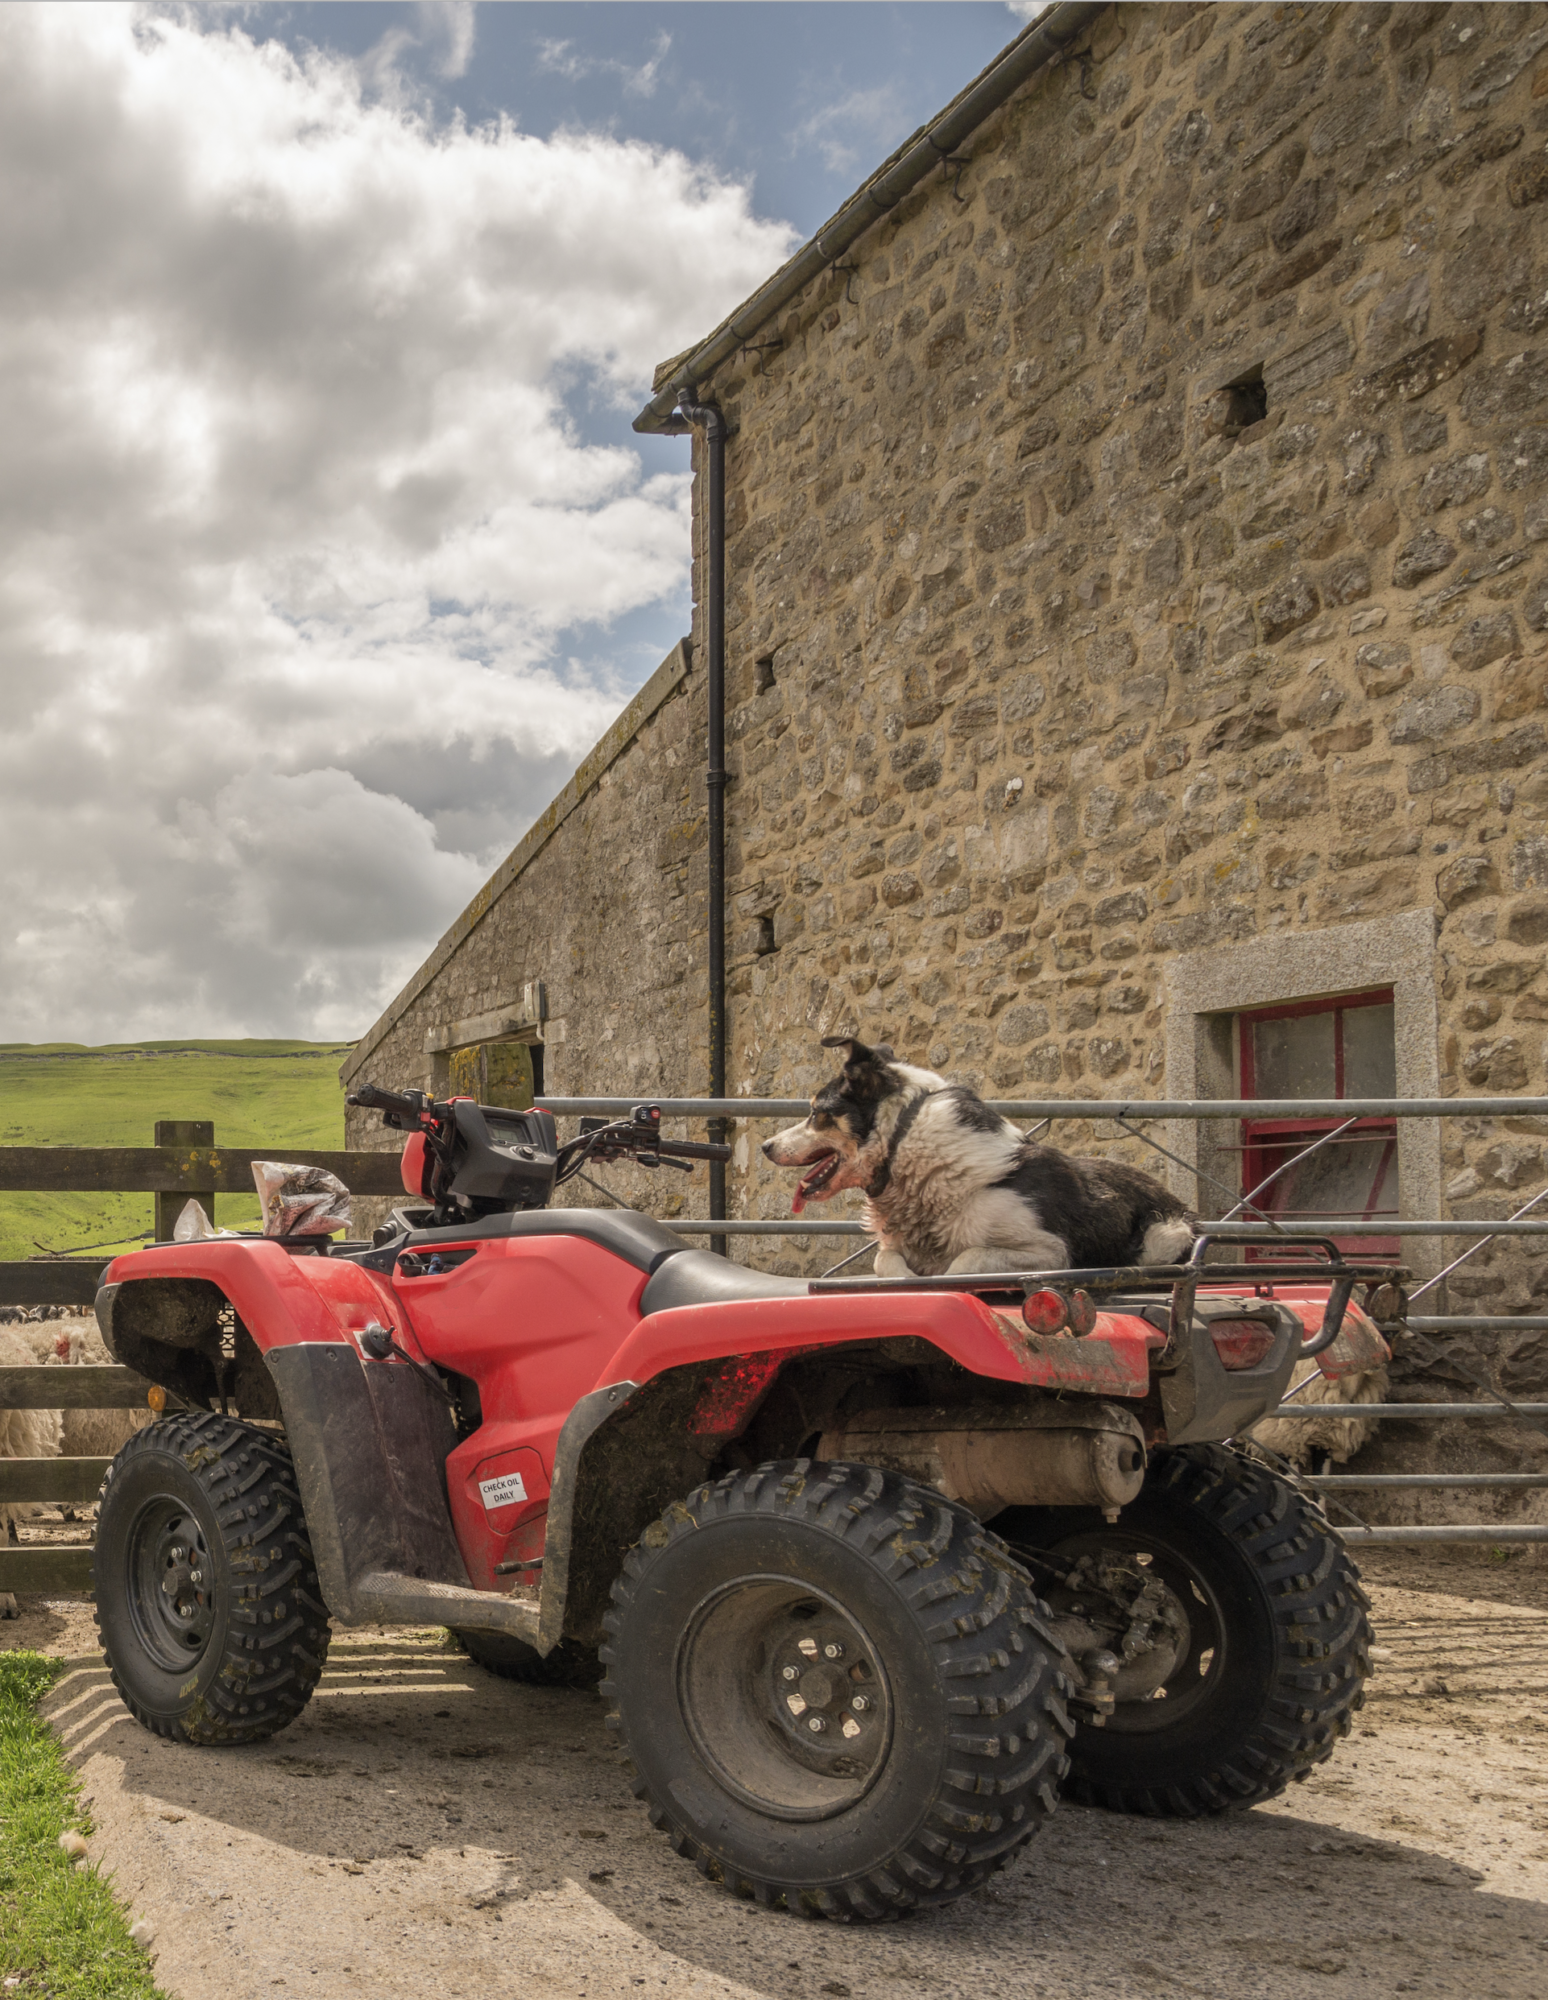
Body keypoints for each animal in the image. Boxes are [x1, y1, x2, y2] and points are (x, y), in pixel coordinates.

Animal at [768, 1040, 1200, 1272]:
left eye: (815, 1113)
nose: (765, 1147)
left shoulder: (1050, 1251)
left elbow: (967, 1261)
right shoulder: (896, 1249)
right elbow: (886, 1261)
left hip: (1166, 1234)